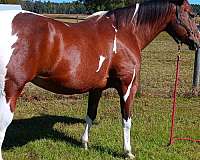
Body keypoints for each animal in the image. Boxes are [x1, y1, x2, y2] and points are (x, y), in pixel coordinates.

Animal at [0, 0, 200, 159]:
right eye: (192, 14)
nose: (197, 42)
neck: (125, 32)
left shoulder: (96, 87)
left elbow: (90, 114)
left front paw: (84, 144)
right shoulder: (128, 86)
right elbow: (126, 119)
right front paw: (128, 152)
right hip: (10, 90)